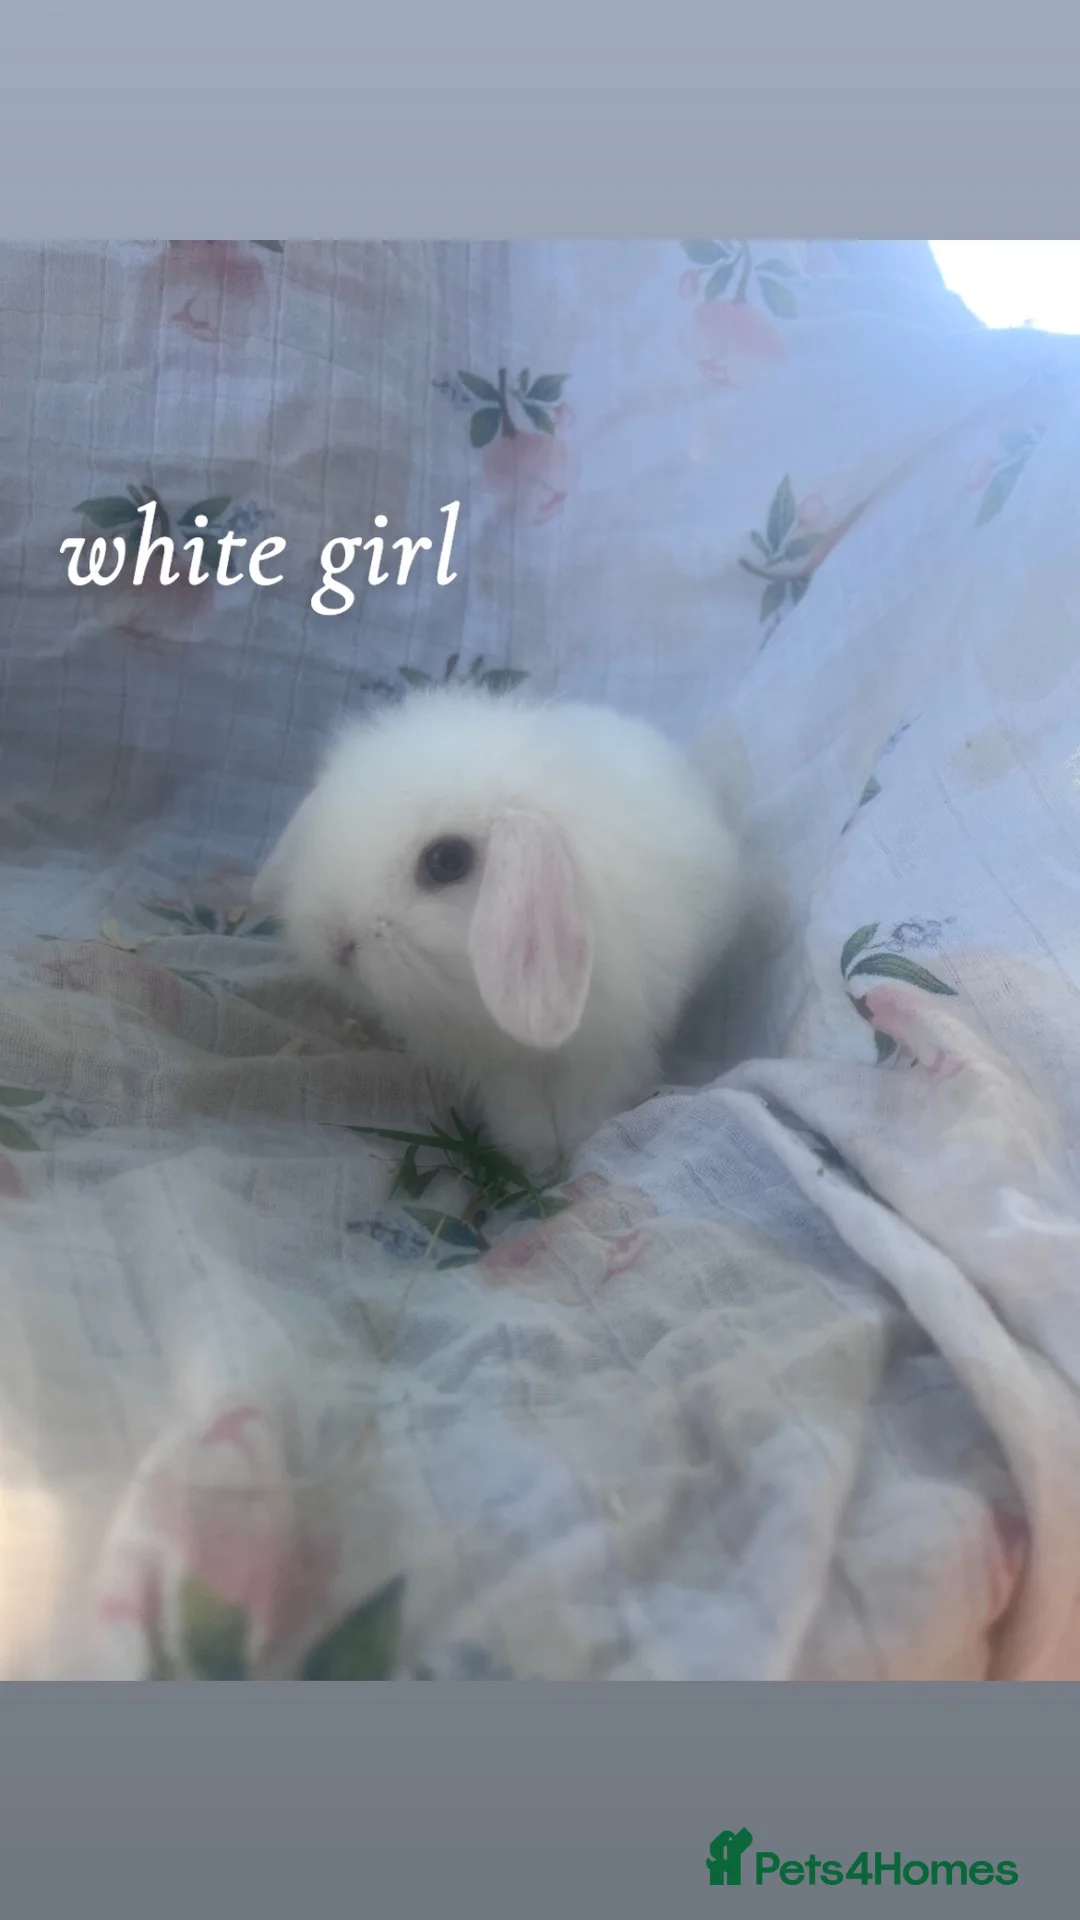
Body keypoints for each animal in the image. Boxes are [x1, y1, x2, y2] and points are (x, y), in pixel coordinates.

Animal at [252, 682, 741, 1180]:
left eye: (446, 860)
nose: (335, 942)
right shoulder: (500, 1068)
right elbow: (522, 1112)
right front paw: (533, 1159)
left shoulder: (608, 1052)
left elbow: (586, 1104)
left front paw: (570, 1156)